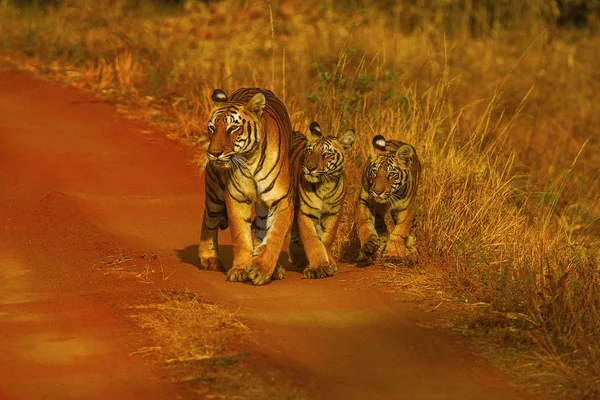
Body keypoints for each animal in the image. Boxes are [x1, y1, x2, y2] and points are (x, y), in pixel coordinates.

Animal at [200, 88, 294, 286]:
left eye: (233, 128)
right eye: (212, 128)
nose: (213, 153)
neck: (250, 160)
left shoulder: (282, 200)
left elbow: (275, 236)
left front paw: (261, 270)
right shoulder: (236, 197)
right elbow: (240, 236)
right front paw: (240, 269)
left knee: (262, 230)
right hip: (214, 191)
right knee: (209, 217)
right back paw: (209, 259)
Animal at [288, 121, 354, 278]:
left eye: (327, 154)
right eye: (309, 151)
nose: (310, 168)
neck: (325, 185)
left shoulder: (333, 213)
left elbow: (328, 238)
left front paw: (329, 262)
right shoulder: (306, 212)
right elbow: (311, 240)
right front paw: (318, 267)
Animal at [356, 134, 422, 262]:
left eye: (391, 174)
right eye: (374, 172)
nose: (377, 192)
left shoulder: (406, 208)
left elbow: (400, 231)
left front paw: (393, 254)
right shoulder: (365, 200)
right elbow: (364, 223)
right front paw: (368, 246)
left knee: (412, 231)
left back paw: (412, 253)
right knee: (380, 226)